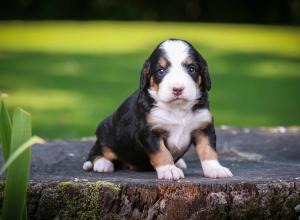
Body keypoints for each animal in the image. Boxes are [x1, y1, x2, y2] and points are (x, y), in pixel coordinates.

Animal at [83, 38, 233, 180]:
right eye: (161, 71)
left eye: (191, 69)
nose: (177, 89)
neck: (178, 109)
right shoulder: (149, 131)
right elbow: (162, 152)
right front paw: (169, 170)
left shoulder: (203, 127)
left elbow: (208, 150)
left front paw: (215, 169)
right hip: (106, 130)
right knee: (97, 151)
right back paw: (102, 164)